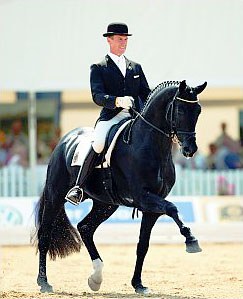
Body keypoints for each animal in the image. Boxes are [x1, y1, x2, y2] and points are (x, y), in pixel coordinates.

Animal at [32, 79, 207, 296]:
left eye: (198, 111)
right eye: (181, 110)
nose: (190, 149)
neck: (151, 146)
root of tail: (65, 140)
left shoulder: (151, 208)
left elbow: (143, 245)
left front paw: (138, 284)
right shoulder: (144, 197)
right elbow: (173, 208)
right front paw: (191, 239)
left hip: (105, 204)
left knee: (85, 228)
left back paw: (96, 278)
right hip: (55, 195)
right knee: (45, 234)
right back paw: (44, 282)